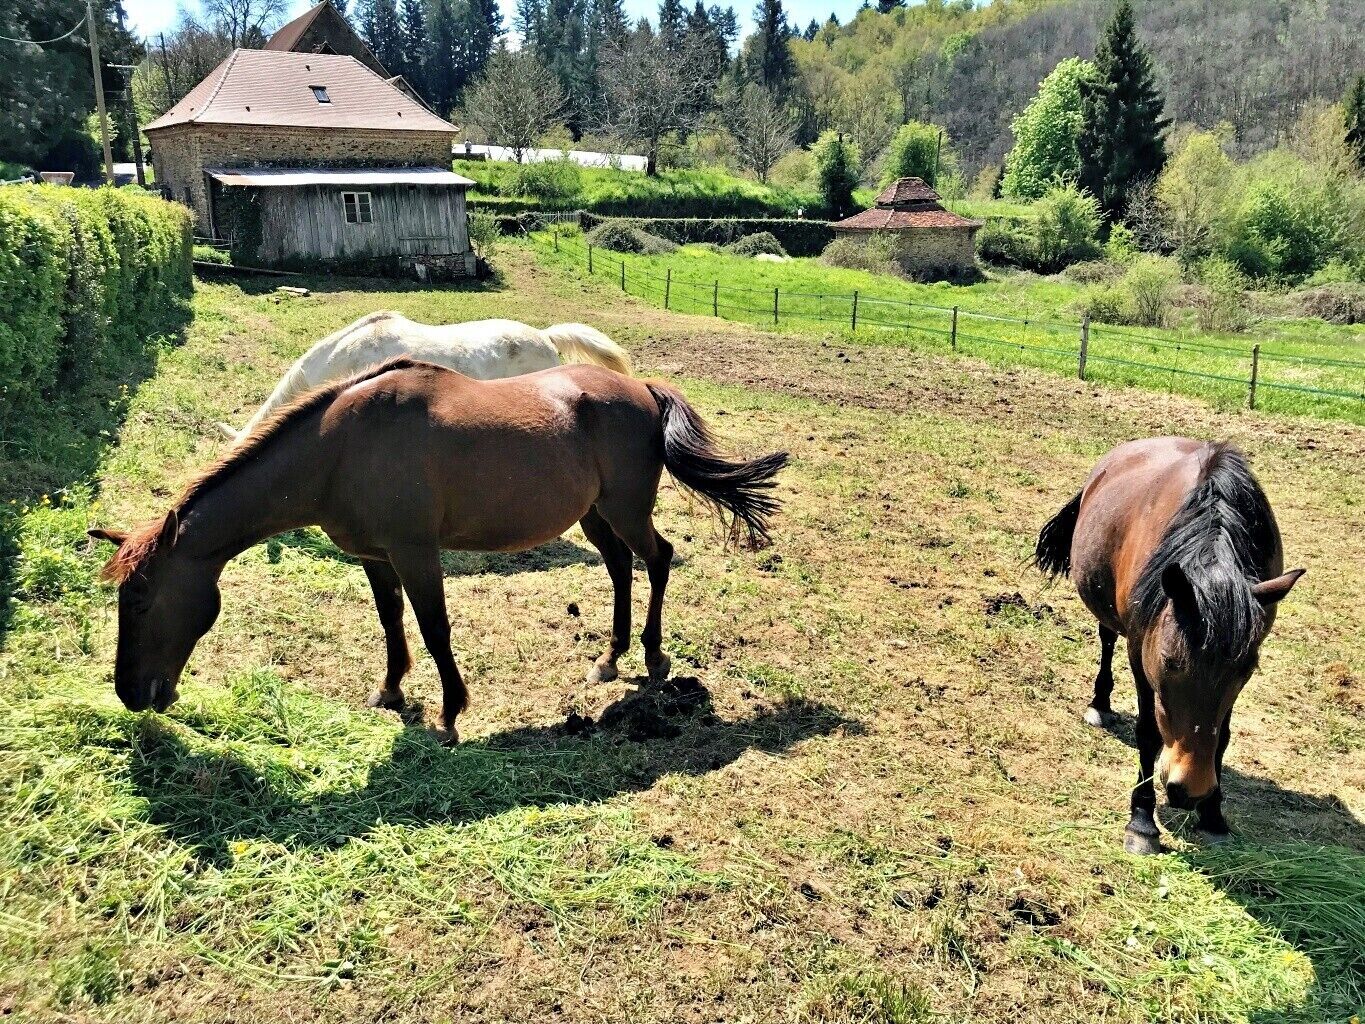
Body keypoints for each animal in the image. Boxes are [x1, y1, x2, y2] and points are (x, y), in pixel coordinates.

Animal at [89, 360, 787, 743]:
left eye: (142, 600)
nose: (131, 694)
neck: (339, 449)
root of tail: (640, 388)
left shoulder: (415, 552)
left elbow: (434, 628)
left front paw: (451, 712)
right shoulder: (375, 556)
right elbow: (392, 621)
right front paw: (391, 690)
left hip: (626, 510)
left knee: (658, 558)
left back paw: (653, 656)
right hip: (593, 515)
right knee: (619, 568)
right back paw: (608, 659)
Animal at [1035, 437, 1304, 855]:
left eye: (1245, 671)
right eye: (1170, 662)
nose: (1190, 789)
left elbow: (1221, 738)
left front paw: (1212, 816)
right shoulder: (1140, 655)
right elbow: (1148, 732)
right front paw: (1142, 821)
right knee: (1107, 640)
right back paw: (1100, 704)